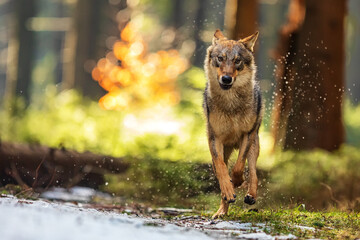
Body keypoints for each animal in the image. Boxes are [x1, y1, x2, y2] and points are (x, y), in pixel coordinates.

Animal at [204, 29, 262, 218]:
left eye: (237, 61)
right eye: (220, 58)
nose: (227, 79)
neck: (231, 104)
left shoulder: (246, 134)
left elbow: (238, 167)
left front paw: (237, 181)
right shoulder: (215, 138)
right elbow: (222, 169)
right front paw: (229, 189)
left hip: (254, 144)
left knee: (253, 173)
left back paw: (250, 195)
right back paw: (222, 210)